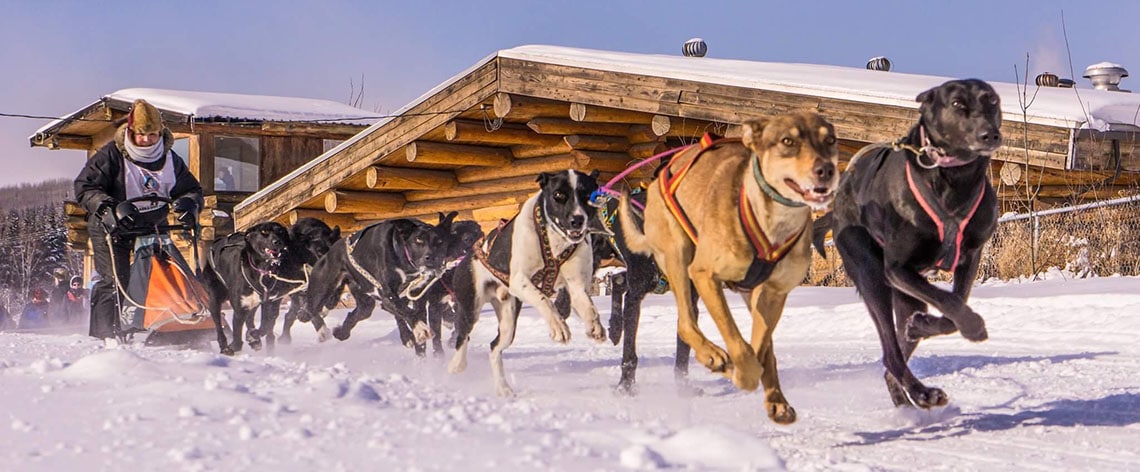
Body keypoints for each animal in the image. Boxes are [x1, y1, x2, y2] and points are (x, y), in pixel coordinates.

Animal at [200, 221, 291, 353]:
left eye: (280, 231)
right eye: (264, 232)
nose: (277, 242)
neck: (262, 271)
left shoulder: (271, 302)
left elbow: (266, 324)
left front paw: (254, 336)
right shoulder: (240, 308)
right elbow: (237, 338)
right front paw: (235, 345)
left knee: (251, 318)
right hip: (215, 298)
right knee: (218, 323)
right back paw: (224, 346)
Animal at [303, 215, 453, 344]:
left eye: (440, 242)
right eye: (418, 240)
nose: (432, 258)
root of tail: (329, 251)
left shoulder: (414, 292)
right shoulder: (388, 295)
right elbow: (405, 310)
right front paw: (420, 329)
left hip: (365, 302)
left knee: (356, 313)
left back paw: (342, 332)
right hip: (322, 288)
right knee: (311, 308)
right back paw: (322, 330)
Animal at [624, 111, 839, 424]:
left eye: (830, 140)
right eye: (787, 141)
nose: (826, 170)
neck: (772, 223)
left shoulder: (774, 293)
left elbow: (759, 347)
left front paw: (756, 378)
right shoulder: (706, 275)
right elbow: (737, 342)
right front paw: (737, 370)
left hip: (750, 294)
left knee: (762, 348)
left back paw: (777, 400)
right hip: (678, 255)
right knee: (685, 323)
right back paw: (714, 357)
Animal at [820, 78, 998, 410]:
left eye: (991, 100)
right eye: (957, 103)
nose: (989, 133)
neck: (954, 179)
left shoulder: (970, 256)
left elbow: (954, 306)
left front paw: (922, 324)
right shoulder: (897, 269)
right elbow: (951, 303)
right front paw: (972, 326)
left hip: (908, 295)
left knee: (895, 354)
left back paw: (911, 391)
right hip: (872, 276)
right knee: (891, 354)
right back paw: (921, 392)